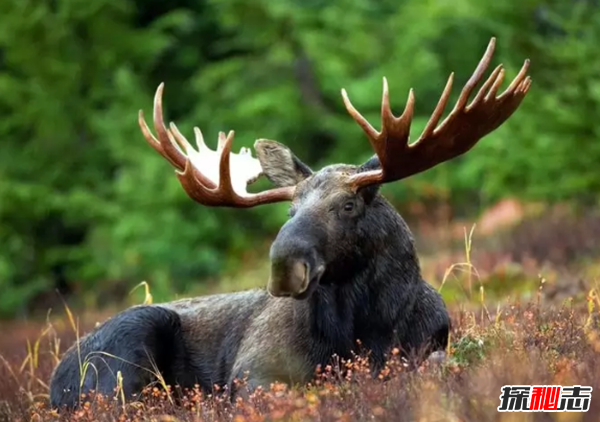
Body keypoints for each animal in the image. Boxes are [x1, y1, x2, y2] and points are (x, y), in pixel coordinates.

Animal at [50, 38, 528, 408]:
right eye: (290, 211)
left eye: (348, 205)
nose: (284, 266)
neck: (366, 328)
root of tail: (54, 383)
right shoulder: (254, 372)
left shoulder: (430, 347)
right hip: (127, 350)